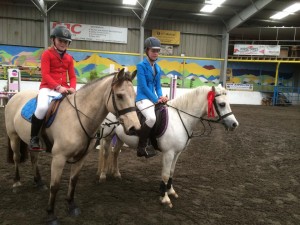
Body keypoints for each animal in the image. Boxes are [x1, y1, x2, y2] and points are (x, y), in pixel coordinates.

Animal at [97, 84, 238, 207]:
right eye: (222, 104)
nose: (234, 124)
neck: (181, 119)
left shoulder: (177, 153)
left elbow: (171, 171)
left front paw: (171, 191)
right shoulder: (168, 153)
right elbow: (165, 174)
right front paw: (164, 198)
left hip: (120, 137)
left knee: (115, 153)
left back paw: (116, 174)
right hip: (108, 135)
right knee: (106, 152)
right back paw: (103, 175)